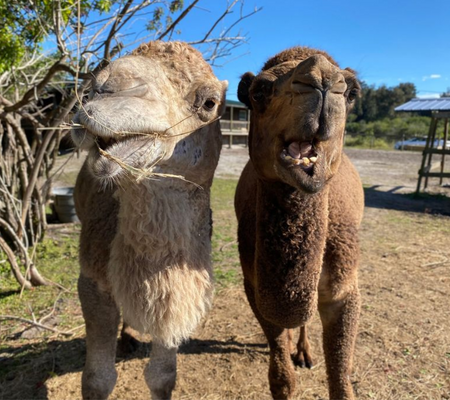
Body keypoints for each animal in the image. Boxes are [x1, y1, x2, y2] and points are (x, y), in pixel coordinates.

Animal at [73, 41, 229, 400]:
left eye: (210, 102)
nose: (104, 86)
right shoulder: (90, 281)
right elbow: (97, 380)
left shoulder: (175, 297)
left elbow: (162, 376)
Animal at [236, 47, 366, 400]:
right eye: (259, 91)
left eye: (351, 93)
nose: (321, 79)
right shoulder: (255, 286)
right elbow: (281, 377)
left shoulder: (343, 289)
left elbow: (341, 381)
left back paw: (306, 352)